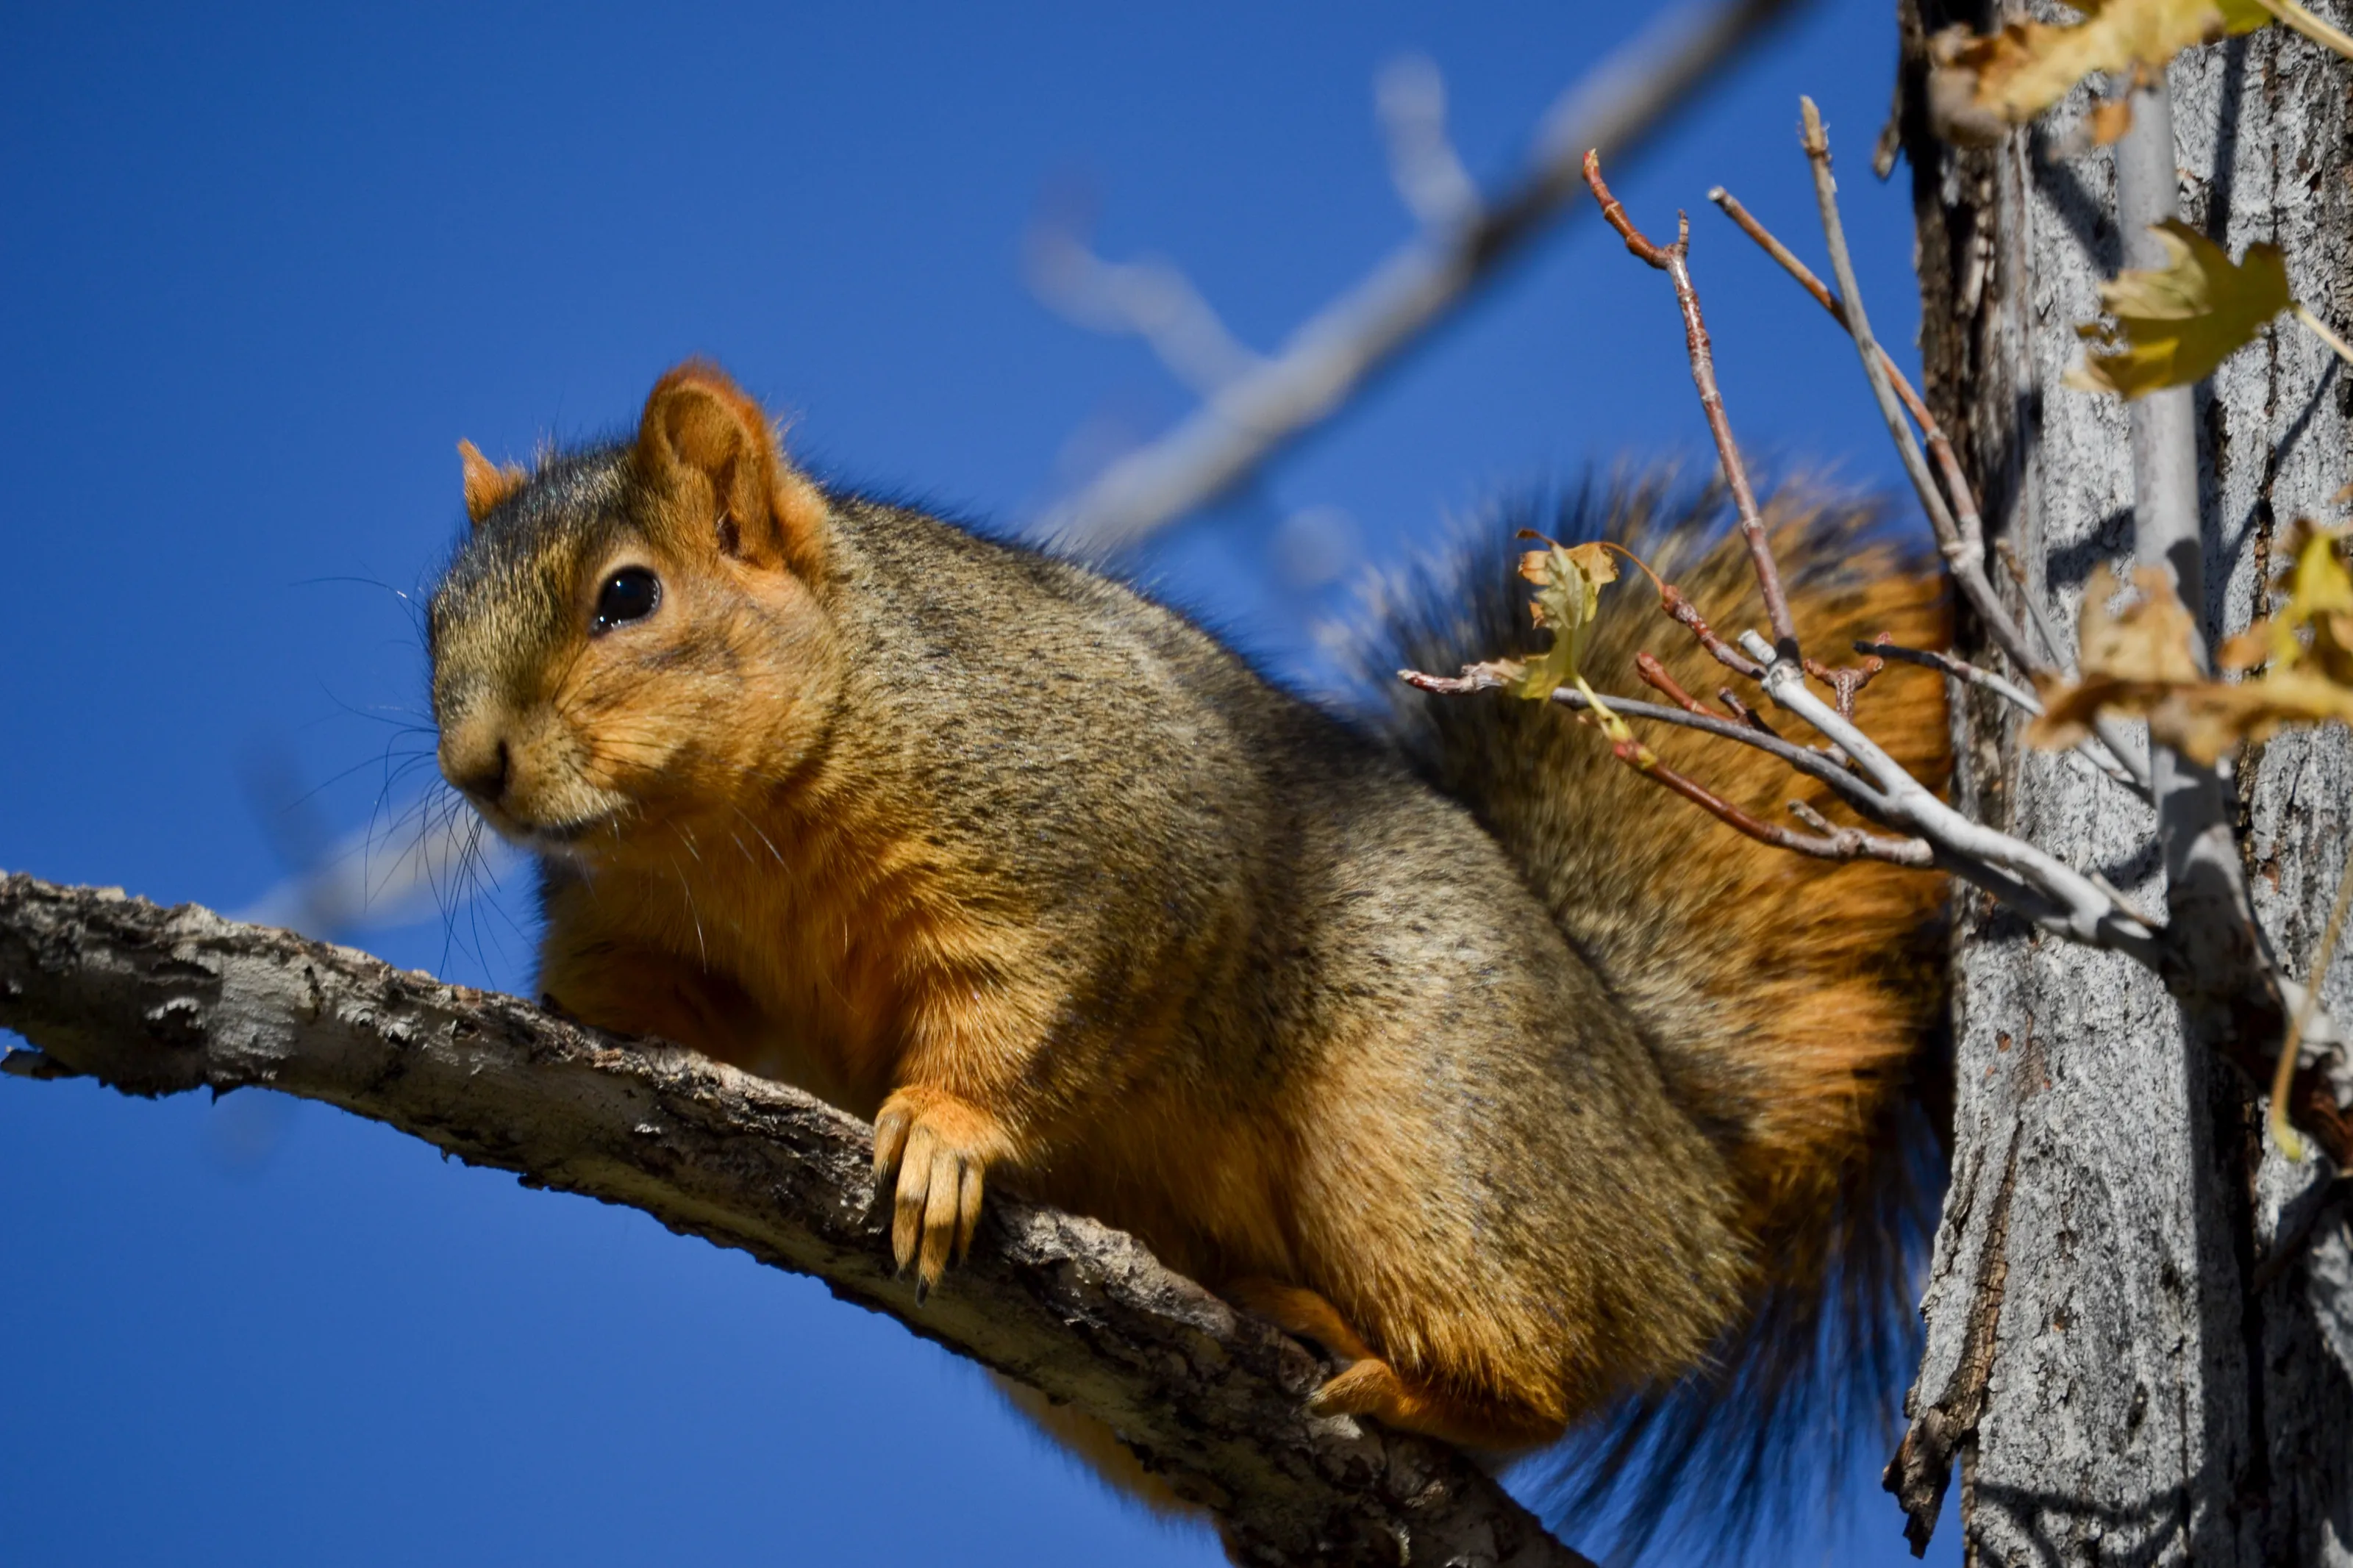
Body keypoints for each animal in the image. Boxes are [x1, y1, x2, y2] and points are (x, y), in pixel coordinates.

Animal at [428, 361, 1949, 1541]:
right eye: (433, 620)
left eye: (628, 597)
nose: (473, 767)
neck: (732, 833)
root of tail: (1691, 1167)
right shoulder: (658, 919)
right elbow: (663, 1000)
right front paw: (582, 1011)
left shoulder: (1088, 859)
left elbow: (1034, 1007)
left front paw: (944, 1129)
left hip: (1429, 1148)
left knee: (1545, 1370)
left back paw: (1396, 1372)